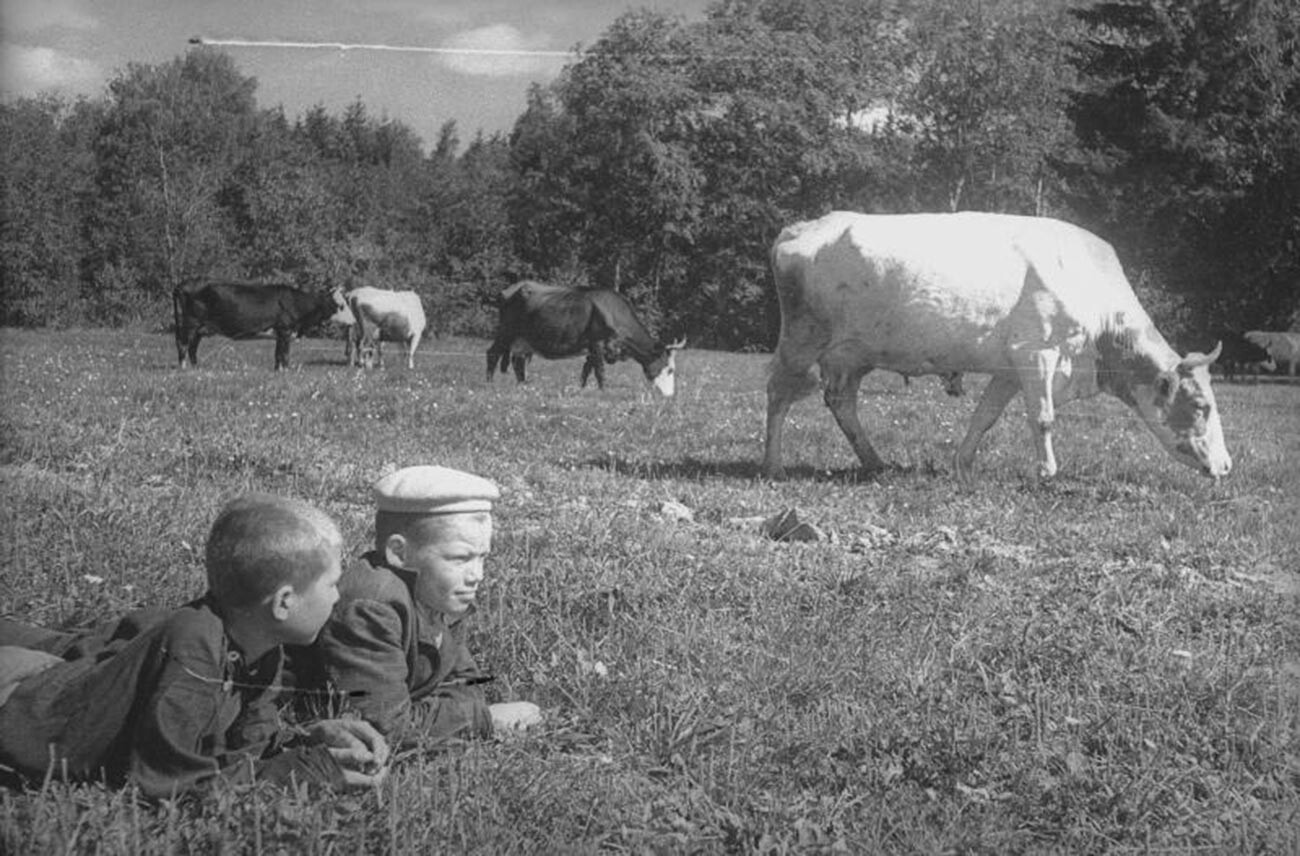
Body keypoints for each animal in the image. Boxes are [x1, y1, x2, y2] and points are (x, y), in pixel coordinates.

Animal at [172, 282, 348, 369]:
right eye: (340, 305)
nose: (351, 319)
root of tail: (184, 284)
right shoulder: (285, 330)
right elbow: (285, 354)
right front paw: (286, 370)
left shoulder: (280, 333)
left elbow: (278, 354)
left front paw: (278, 370)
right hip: (190, 324)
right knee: (183, 344)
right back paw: (183, 368)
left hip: (199, 329)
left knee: (192, 347)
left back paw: (196, 368)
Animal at [488, 282, 686, 398]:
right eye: (670, 369)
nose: (670, 396)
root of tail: (510, 288)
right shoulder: (597, 343)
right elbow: (599, 371)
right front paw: (603, 392)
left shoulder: (592, 349)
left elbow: (586, 371)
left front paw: (581, 391)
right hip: (506, 331)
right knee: (493, 353)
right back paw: (490, 385)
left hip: (523, 340)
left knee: (518, 362)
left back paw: (523, 387)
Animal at [764, 209, 1232, 478]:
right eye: (1201, 406)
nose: (1227, 465)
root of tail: (803, 226)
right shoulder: (1037, 352)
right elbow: (1043, 417)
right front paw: (1047, 471)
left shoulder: (1010, 369)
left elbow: (984, 417)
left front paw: (962, 465)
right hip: (801, 340)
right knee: (778, 394)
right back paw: (773, 464)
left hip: (852, 354)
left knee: (842, 403)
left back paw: (875, 462)